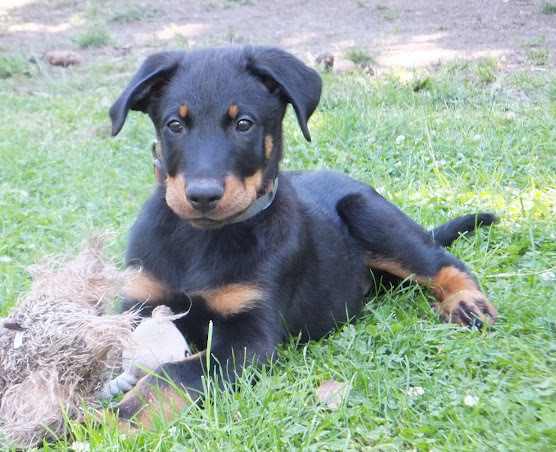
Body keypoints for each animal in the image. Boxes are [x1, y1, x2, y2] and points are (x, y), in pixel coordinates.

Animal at [107, 46, 496, 428]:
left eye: (243, 124)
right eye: (174, 125)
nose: (203, 196)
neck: (201, 239)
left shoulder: (249, 339)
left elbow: (171, 374)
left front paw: (115, 421)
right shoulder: (139, 301)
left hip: (368, 213)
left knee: (441, 262)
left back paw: (467, 302)